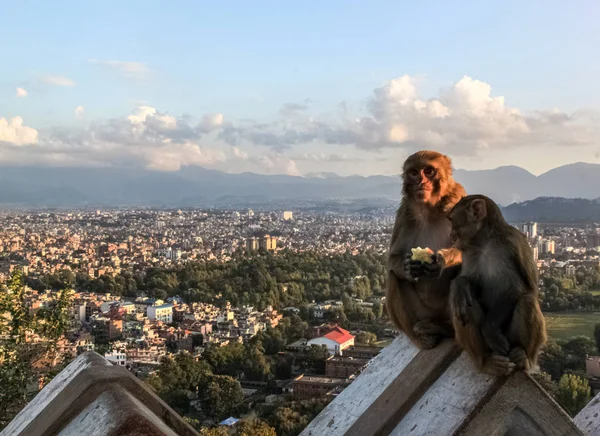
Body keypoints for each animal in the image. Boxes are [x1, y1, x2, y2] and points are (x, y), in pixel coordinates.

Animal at [386, 152, 466, 350]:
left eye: (428, 171)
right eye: (414, 172)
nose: (421, 182)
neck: (431, 208)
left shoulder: (459, 198)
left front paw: (442, 262)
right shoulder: (404, 213)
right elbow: (393, 257)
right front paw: (407, 267)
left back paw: (447, 329)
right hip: (422, 312)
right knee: (393, 276)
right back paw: (420, 337)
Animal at [446, 194, 548, 374]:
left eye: (452, 220)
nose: (451, 235)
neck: (485, 242)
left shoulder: (511, 243)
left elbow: (519, 287)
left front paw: (489, 329)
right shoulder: (469, 252)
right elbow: (470, 282)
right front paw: (461, 284)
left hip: (510, 339)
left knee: (527, 301)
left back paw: (524, 357)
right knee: (463, 305)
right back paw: (486, 362)